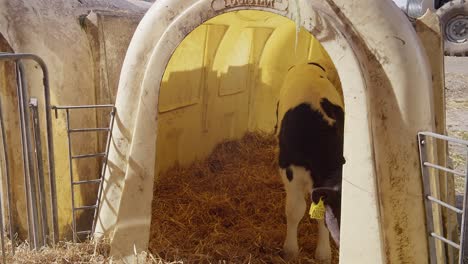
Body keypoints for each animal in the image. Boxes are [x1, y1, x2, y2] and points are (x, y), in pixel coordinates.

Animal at [276, 62, 346, 262]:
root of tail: (306, 63)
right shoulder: (290, 170)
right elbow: (295, 209)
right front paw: (290, 250)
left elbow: (321, 216)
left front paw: (323, 253)